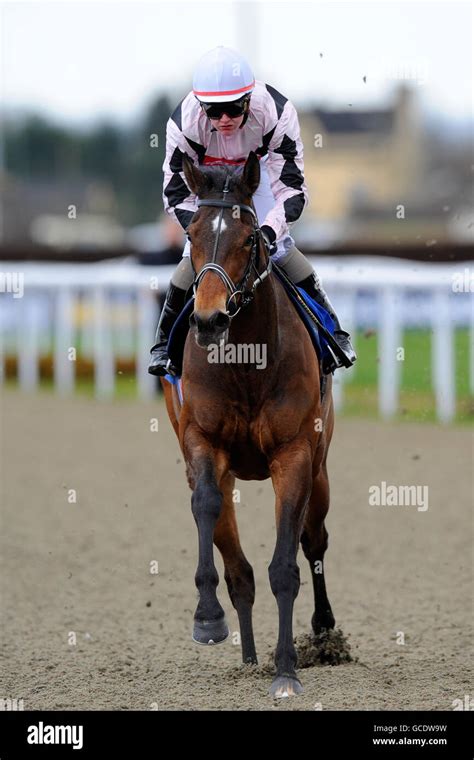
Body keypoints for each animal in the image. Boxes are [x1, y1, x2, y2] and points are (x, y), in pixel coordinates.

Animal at [161, 151, 336, 696]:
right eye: (193, 235)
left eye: (248, 240)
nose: (210, 320)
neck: (246, 362)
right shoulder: (202, 443)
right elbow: (205, 506)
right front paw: (207, 617)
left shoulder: (294, 454)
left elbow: (286, 566)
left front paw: (286, 671)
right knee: (237, 564)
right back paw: (249, 655)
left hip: (321, 468)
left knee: (314, 540)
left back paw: (324, 632)